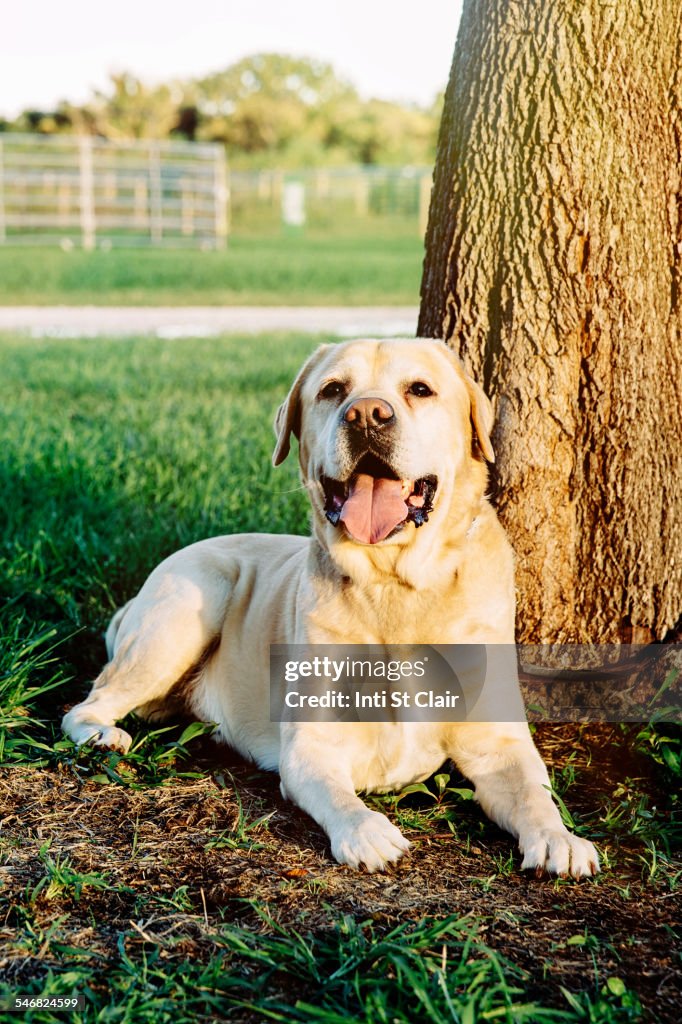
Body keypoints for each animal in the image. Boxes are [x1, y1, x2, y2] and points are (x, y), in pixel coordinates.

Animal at [63, 337, 593, 880]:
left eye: (420, 389)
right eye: (333, 390)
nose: (366, 414)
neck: (393, 582)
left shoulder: (498, 743)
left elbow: (534, 792)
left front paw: (560, 838)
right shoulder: (310, 747)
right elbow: (339, 796)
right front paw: (367, 831)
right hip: (192, 601)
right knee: (85, 704)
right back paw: (102, 734)